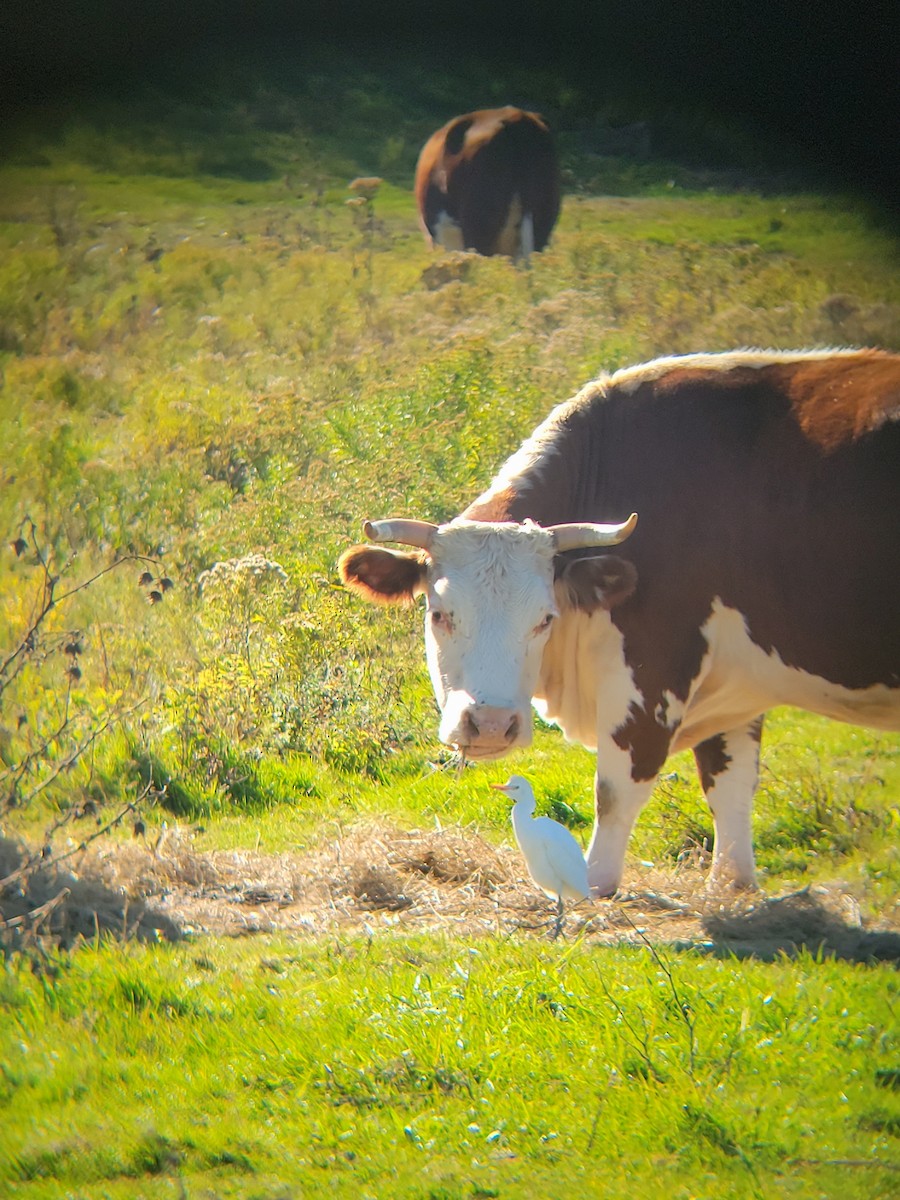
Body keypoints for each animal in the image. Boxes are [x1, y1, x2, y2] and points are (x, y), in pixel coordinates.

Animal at [338, 348, 900, 895]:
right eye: (439, 613)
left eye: (544, 618)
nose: (492, 724)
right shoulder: (737, 682)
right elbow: (731, 785)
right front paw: (731, 885)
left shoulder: (655, 675)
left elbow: (615, 792)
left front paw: (592, 886)